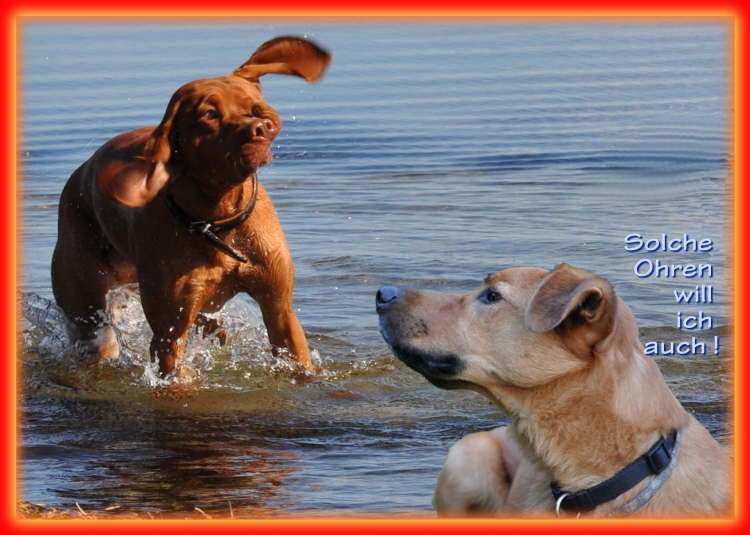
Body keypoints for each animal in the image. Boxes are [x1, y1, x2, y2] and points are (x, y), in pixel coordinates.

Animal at [50, 35, 332, 376]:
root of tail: (79, 173)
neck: (218, 219)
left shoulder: (279, 309)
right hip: (87, 308)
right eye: (208, 115)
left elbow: (298, 363)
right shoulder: (169, 336)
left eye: (253, 105)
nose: (261, 125)